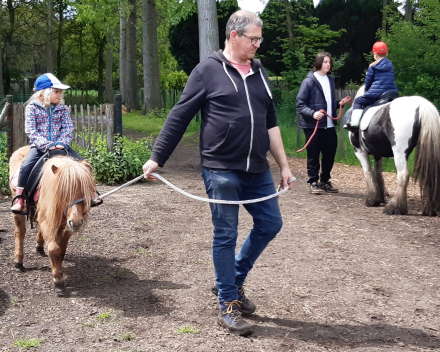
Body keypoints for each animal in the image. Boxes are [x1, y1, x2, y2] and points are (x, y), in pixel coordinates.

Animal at [9, 146, 96, 292]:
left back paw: (39, 246)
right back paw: (18, 261)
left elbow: (61, 250)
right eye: (63, 192)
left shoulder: (66, 226)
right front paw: (58, 280)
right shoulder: (48, 222)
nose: (77, 223)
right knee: (19, 233)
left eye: (85, 190)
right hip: (18, 210)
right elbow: (54, 249)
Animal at [344, 86, 440, 216]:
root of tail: (421, 104)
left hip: (399, 152)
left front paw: (372, 199)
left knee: (403, 175)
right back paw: (431, 209)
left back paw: (394, 207)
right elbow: (377, 173)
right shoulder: (377, 153)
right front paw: (379, 198)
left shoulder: (359, 151)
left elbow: (368, 172)